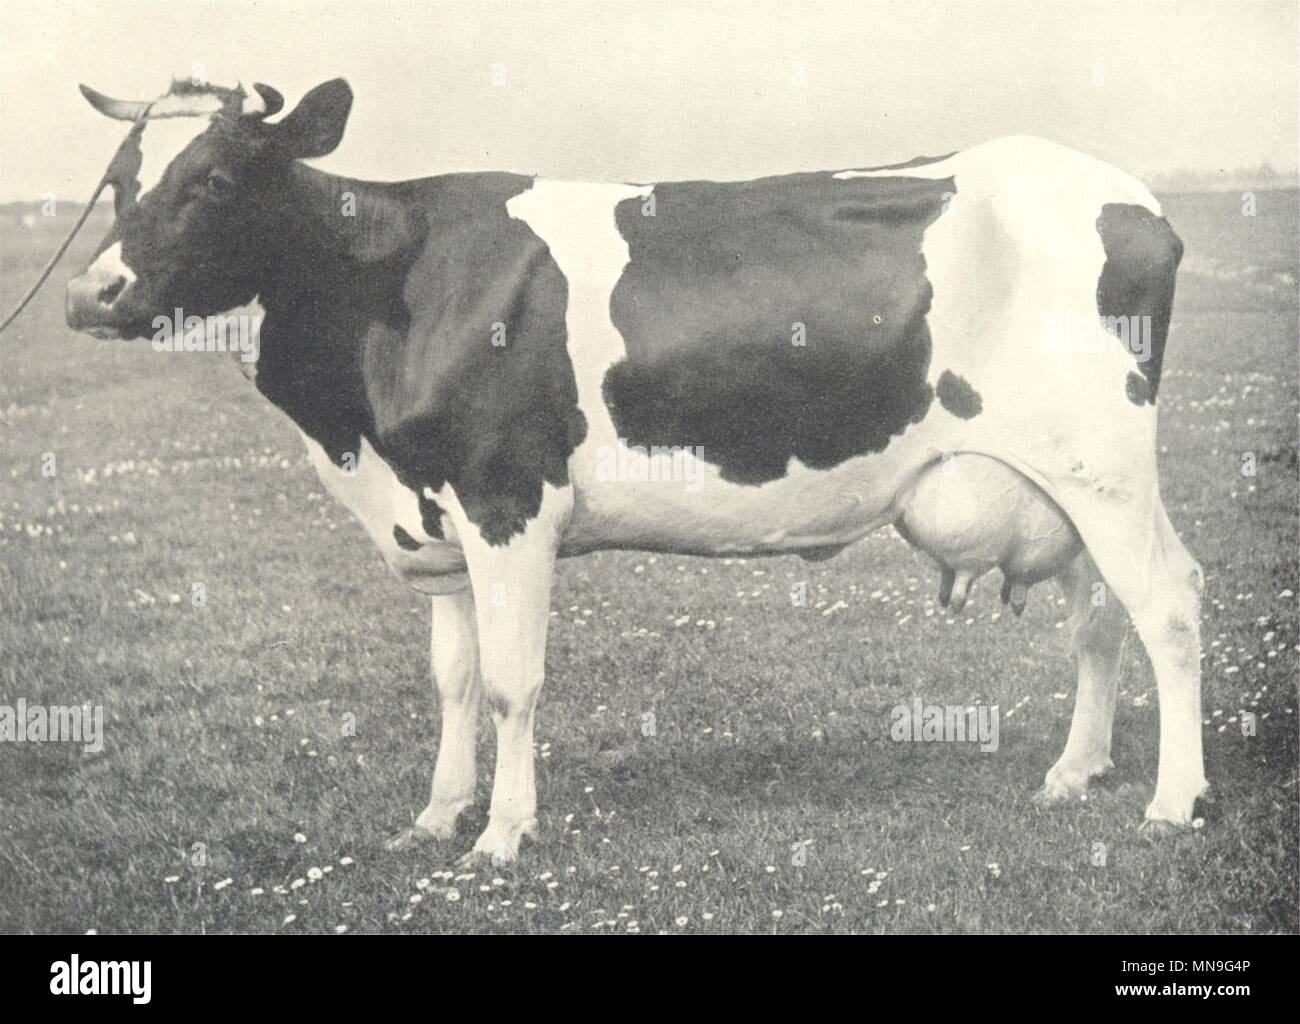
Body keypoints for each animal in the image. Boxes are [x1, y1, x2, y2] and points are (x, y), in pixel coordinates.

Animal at [65, 78, 1207, 864]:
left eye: (213, 181)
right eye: (117, 181)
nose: (90, 294)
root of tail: (1133, 197)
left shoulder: (507, 498)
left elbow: (513, 681)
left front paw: (503, 835)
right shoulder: (438, 514)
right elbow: (452, 679)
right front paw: (435, 815)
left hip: (1101, 464)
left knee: (1167, 603)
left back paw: (1171, 800)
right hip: (1062, 486)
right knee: (1099, 616)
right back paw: (1075, 771)